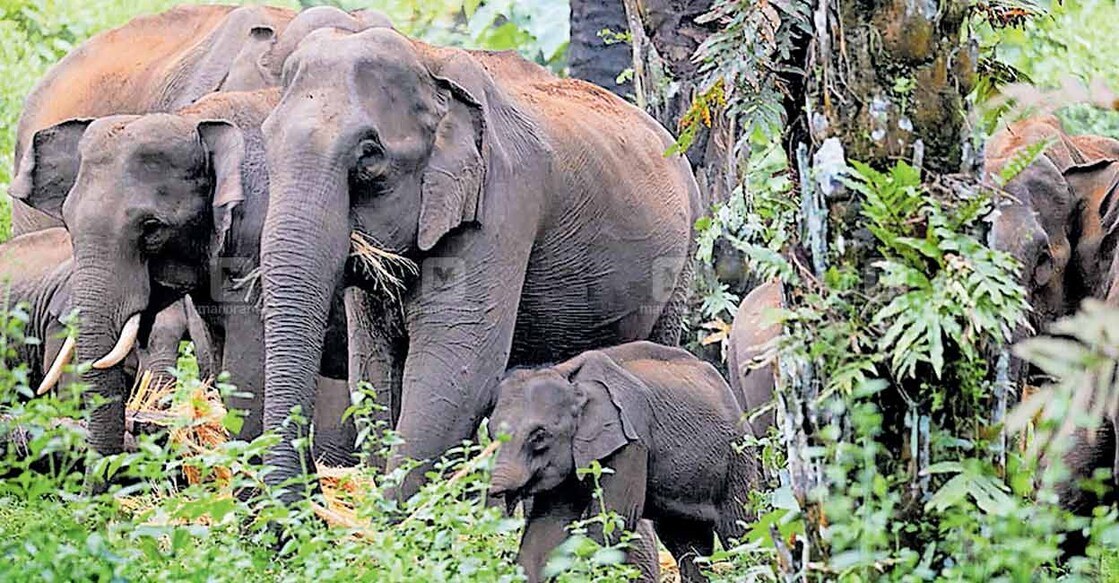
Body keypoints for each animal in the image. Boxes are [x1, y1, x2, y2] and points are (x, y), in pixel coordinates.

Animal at [260, 28, 698, 499]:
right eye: (267, 141)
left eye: (369, 156)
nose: (318, 487)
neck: (427, 60)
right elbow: (372, 369)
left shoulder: (502, 202)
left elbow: (456, 367)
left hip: (682, 263)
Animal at [490, 340, 760, 581]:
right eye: (491, 432)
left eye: (539, 436)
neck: (566, 374)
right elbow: (546, 530)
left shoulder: (633, 442)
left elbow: (614, 522)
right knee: (686, 543)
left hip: (738, 459)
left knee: (740, 531)